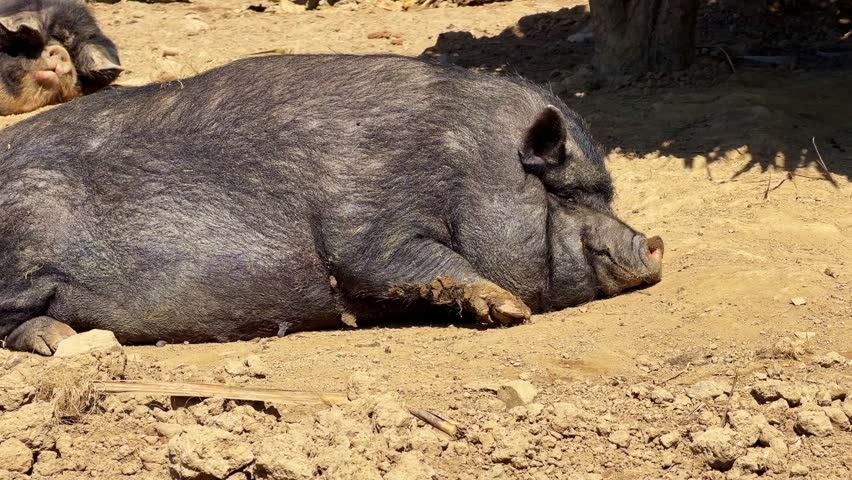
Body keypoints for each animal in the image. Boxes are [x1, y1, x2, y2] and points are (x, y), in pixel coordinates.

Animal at [0, 54, 663, 355]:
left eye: (608, 193)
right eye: (564, 191)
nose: (654, 243)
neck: (460, 166)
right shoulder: (363, 222)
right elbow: (395, 260)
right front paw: (510, 309)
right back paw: (65, 340)